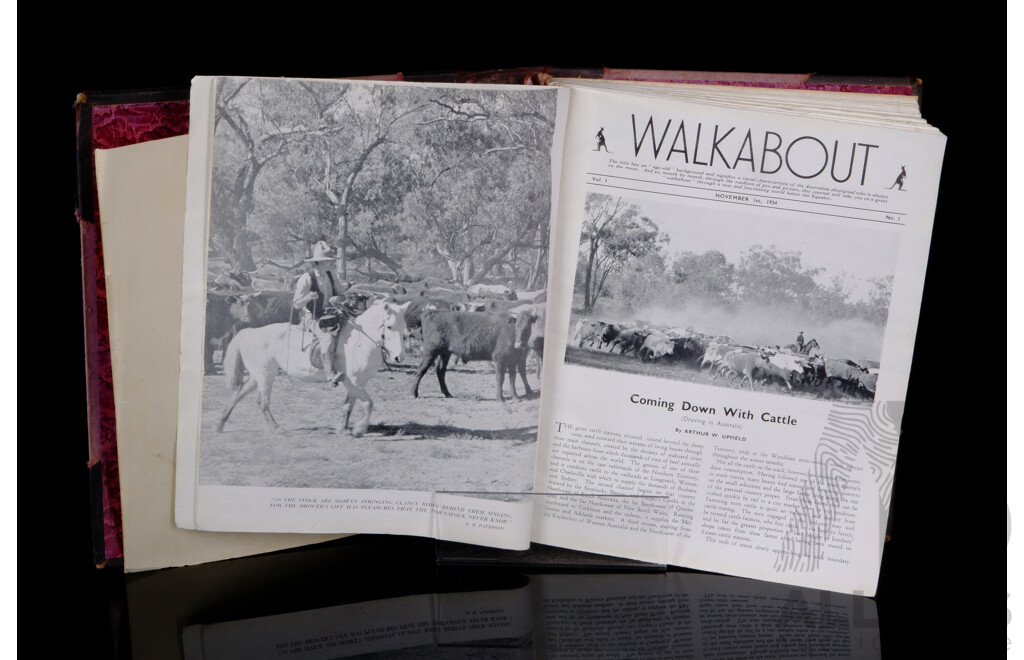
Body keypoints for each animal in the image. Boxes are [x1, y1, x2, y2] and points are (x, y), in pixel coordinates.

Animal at [217, 300, 411, 437]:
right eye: (389, 327)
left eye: (404, 327)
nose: (399, 357)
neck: (360, 341)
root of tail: (250, 332)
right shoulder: (353, 381)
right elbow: (368, 404)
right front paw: (358, 430)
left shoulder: (358, 383)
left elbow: (348, 406)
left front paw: (342, 429)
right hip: (265, 375)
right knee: (262, 402)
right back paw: (276, 428)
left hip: (258, 374)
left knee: (238, 394)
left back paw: (221, 423)